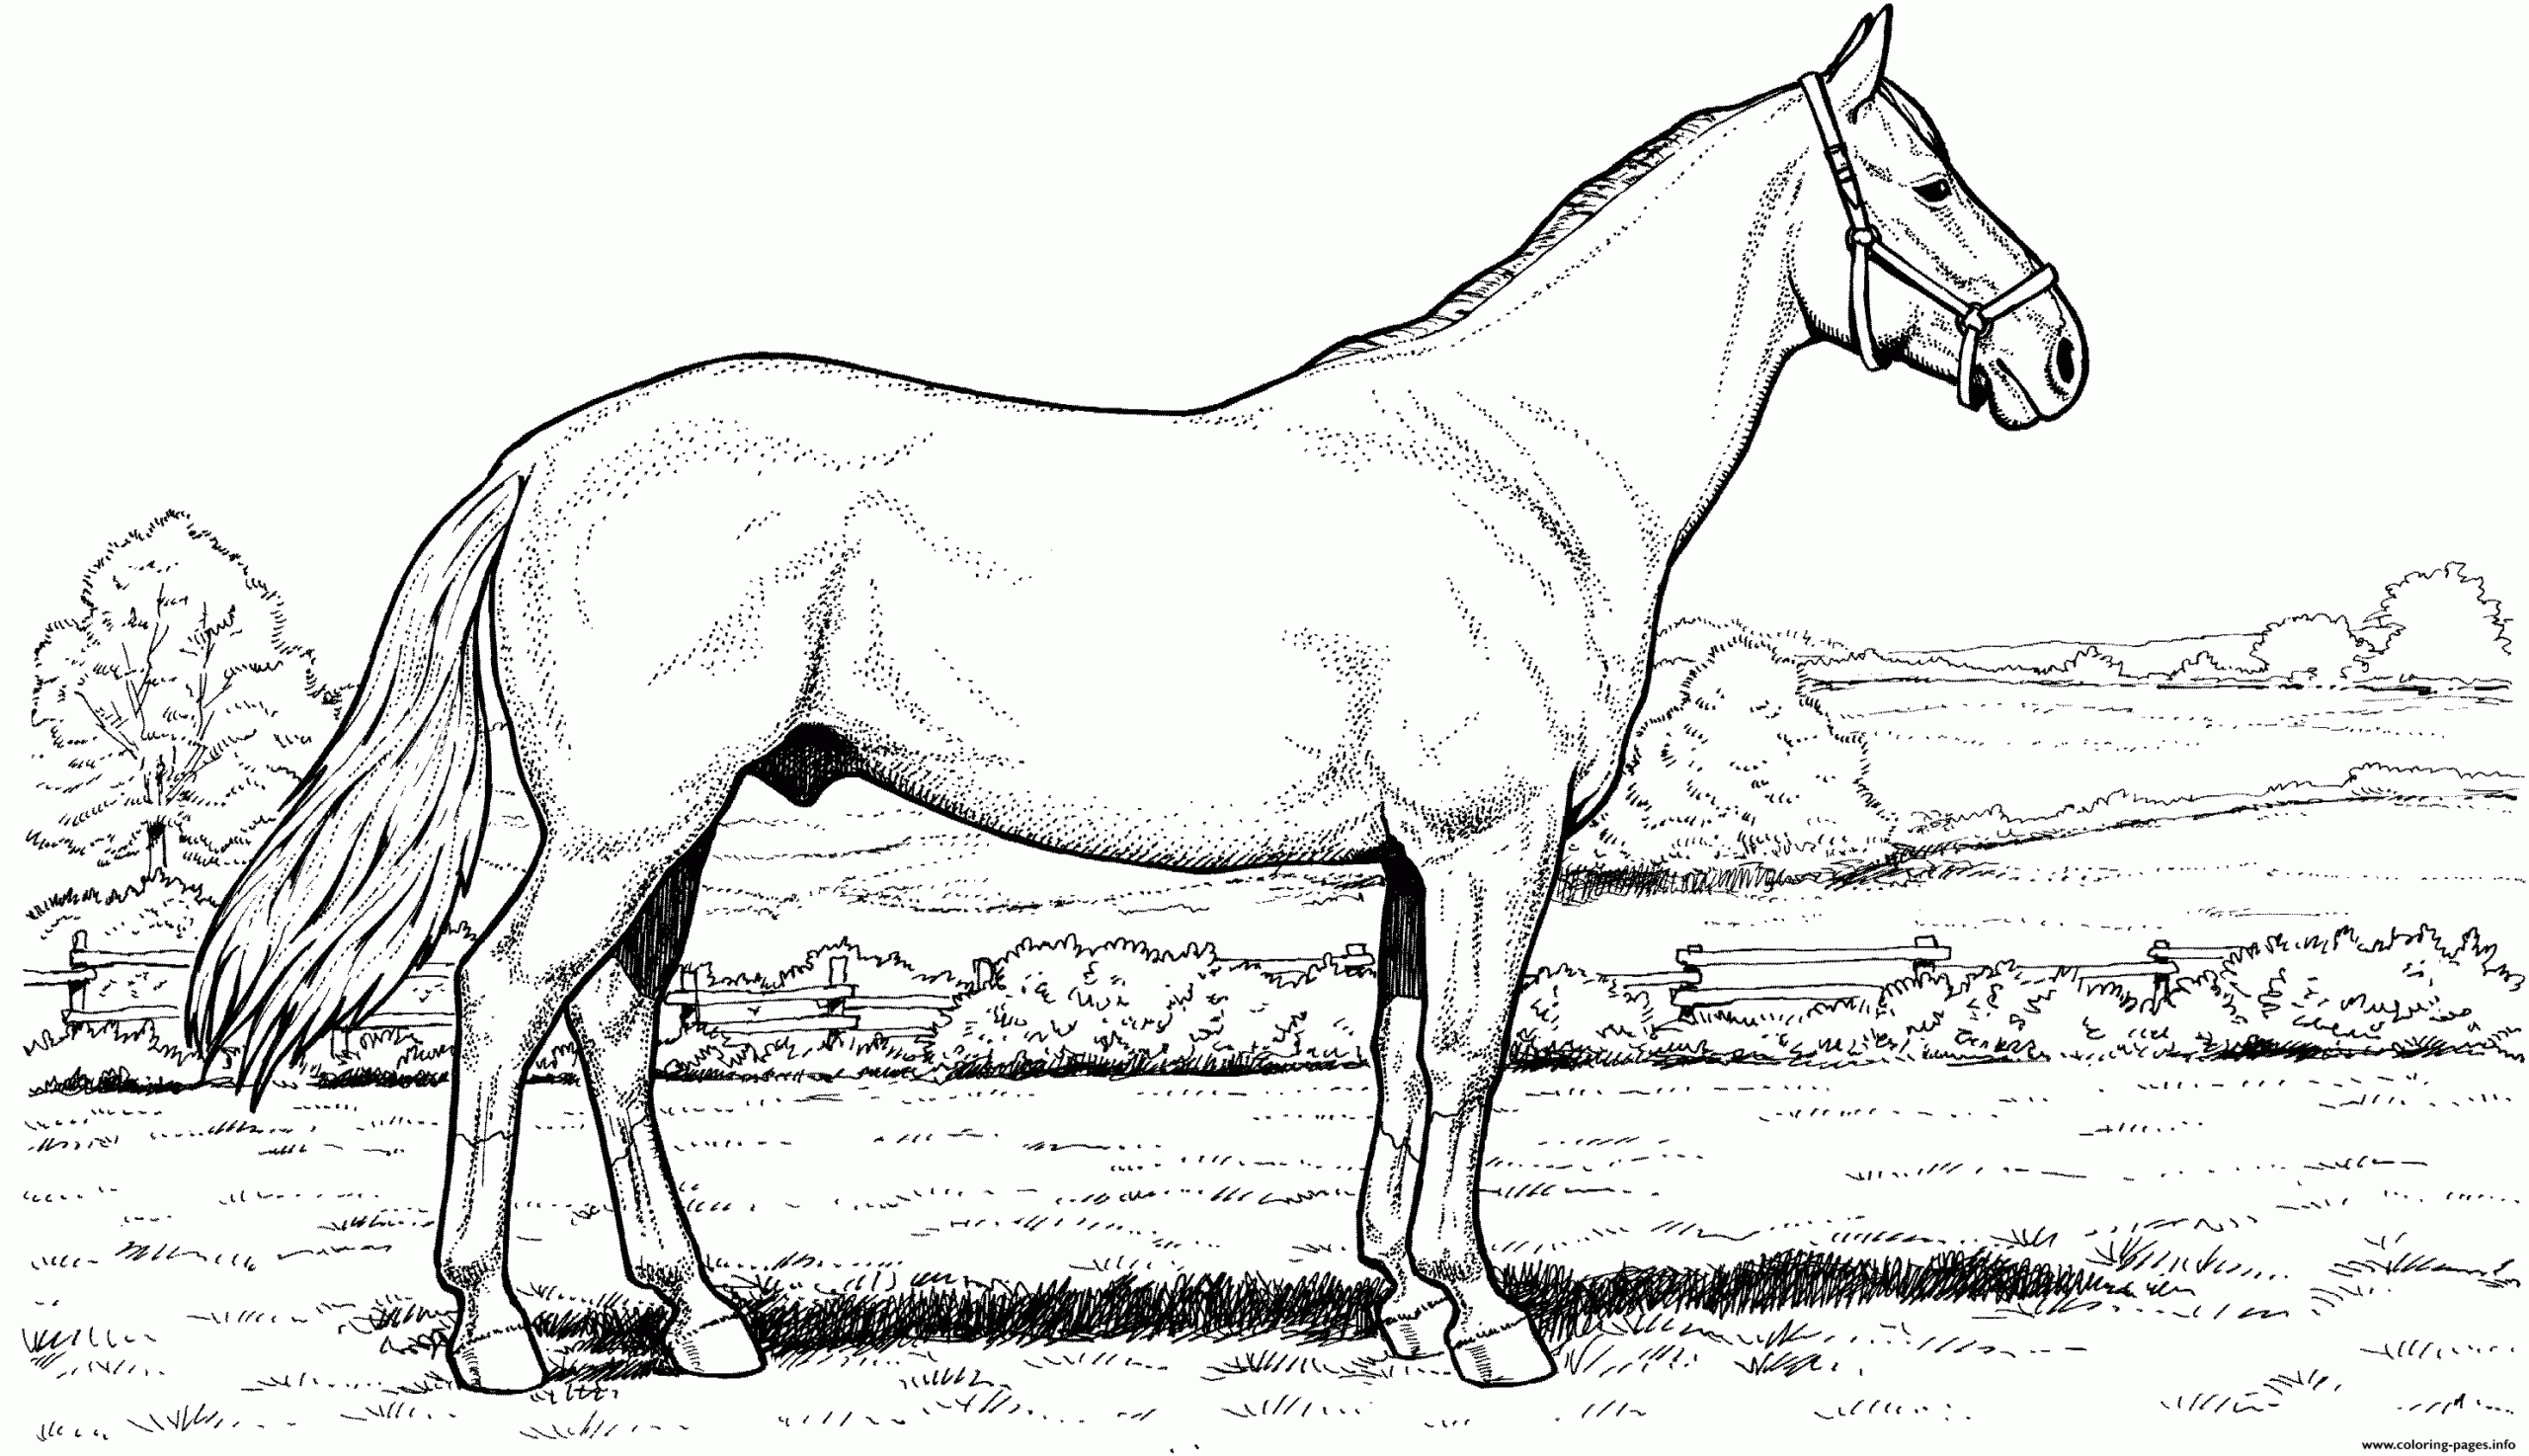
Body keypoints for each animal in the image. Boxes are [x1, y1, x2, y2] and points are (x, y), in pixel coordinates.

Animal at [189, 8, 2084, 1392]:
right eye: (1924, 181)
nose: (2058, 356)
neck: (1521, 464)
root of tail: (547, 457)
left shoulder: (1416, 858)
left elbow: (1398, 1051)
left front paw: (1401, 1296)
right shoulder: (1492, 838)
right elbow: (1470, 1054)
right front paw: (1488, 1321)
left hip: (673, 824)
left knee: (614, 1024)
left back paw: (708, 1319)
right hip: (625, 820)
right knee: (505, 994)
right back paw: (497, 1332)